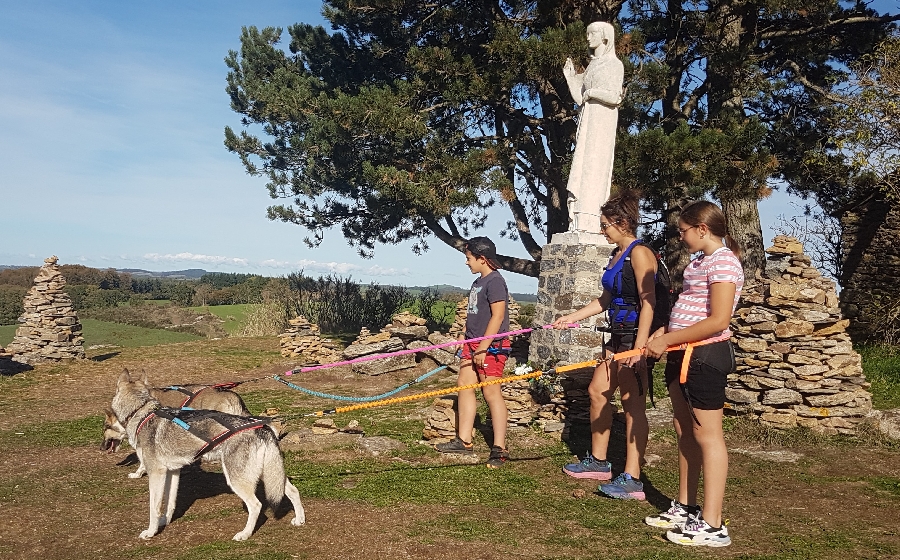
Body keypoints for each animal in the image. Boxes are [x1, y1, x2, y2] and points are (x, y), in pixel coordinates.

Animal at [105, 370, 306, 540]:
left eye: (105, 425)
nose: (101, 446)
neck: (141, 413)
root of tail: (262, 428)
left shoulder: (156, 473)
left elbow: (153, 507)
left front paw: (151, 531)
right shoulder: (173, 472)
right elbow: (170, 502)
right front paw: (165, 521)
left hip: (237, 480)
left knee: (256, 506)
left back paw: (245, 534)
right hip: (271, 475)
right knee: (293, 491)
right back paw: (299, 519)